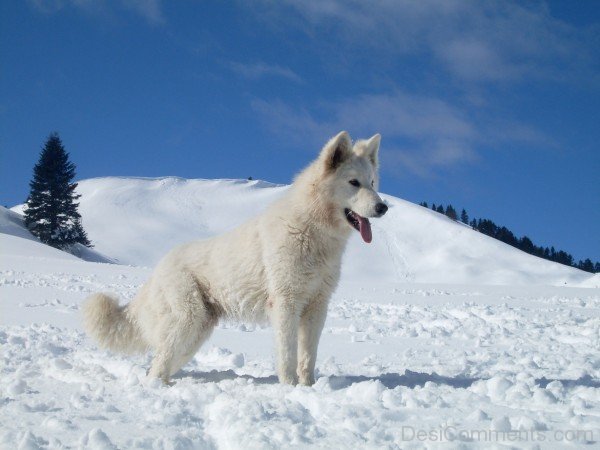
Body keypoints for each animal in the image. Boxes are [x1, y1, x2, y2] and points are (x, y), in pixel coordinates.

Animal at [82, 132, 386, 384]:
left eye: (372, 183)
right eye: (353, 183)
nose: (383, 207)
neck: (310, 230)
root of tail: (158, 268)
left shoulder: (316, 308)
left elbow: (307, 358)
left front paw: (308, 388)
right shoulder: (286, 304)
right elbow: (287, 356)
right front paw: (289, 388)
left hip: (196, 332)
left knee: (161, 363)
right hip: (188, 321)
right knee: (156, 367)